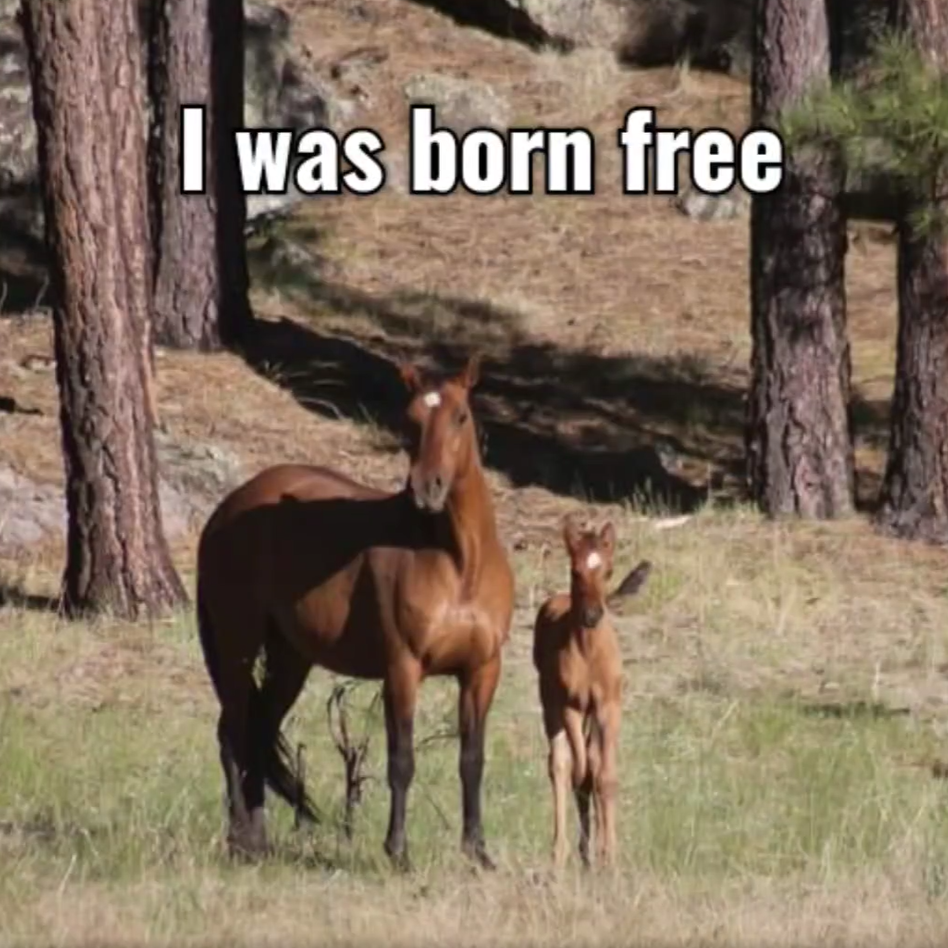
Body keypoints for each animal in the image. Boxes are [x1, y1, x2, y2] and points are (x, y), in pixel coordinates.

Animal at [195, 354, 515, 870]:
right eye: (411, 419)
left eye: (461, 416)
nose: (427, 489)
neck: (458, 561)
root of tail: (228, 507)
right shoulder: (402, 669)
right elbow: (401, 761)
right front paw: (398, 852)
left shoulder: (482, 670)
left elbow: (472, 759)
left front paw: (477, 852)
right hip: (237, 643)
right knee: (232, 733)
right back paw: (240, 840)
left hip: (290, 657)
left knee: (258, 732)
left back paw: (260, 842)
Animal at [532, 513, 651, 869]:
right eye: (575, 570)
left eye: (609, 571)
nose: (591, 615)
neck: (588, 654)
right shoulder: (571, 705)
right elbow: (580, 768)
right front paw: (592, 850)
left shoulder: (608, 707)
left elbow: (604, 774)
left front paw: (608, 854)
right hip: (551, 706)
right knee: (559, 766)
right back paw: (561, 853)